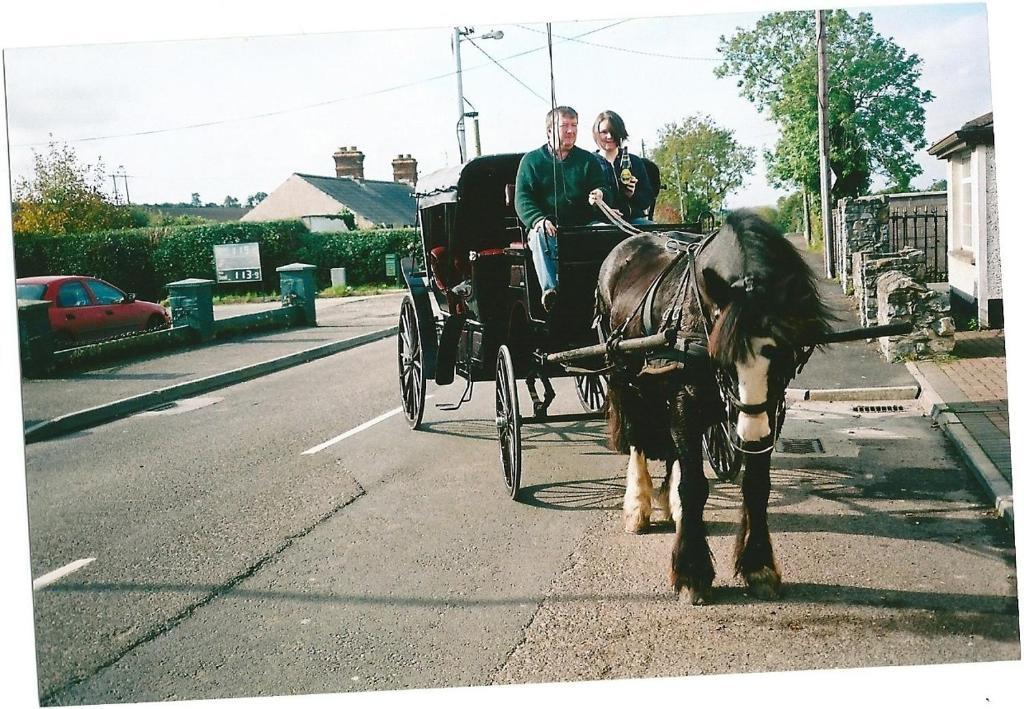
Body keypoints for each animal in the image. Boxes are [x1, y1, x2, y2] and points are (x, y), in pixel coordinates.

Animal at [593, 207, 831, 602]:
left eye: (784, 356)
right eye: (722, 359)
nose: (750, 436)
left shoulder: (771, 410)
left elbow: (757, 485)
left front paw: (759, 567)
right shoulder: (684, 400)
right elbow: (695, 487)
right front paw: (692, 573)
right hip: (622, 377)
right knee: (637, 437)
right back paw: (638, 507)